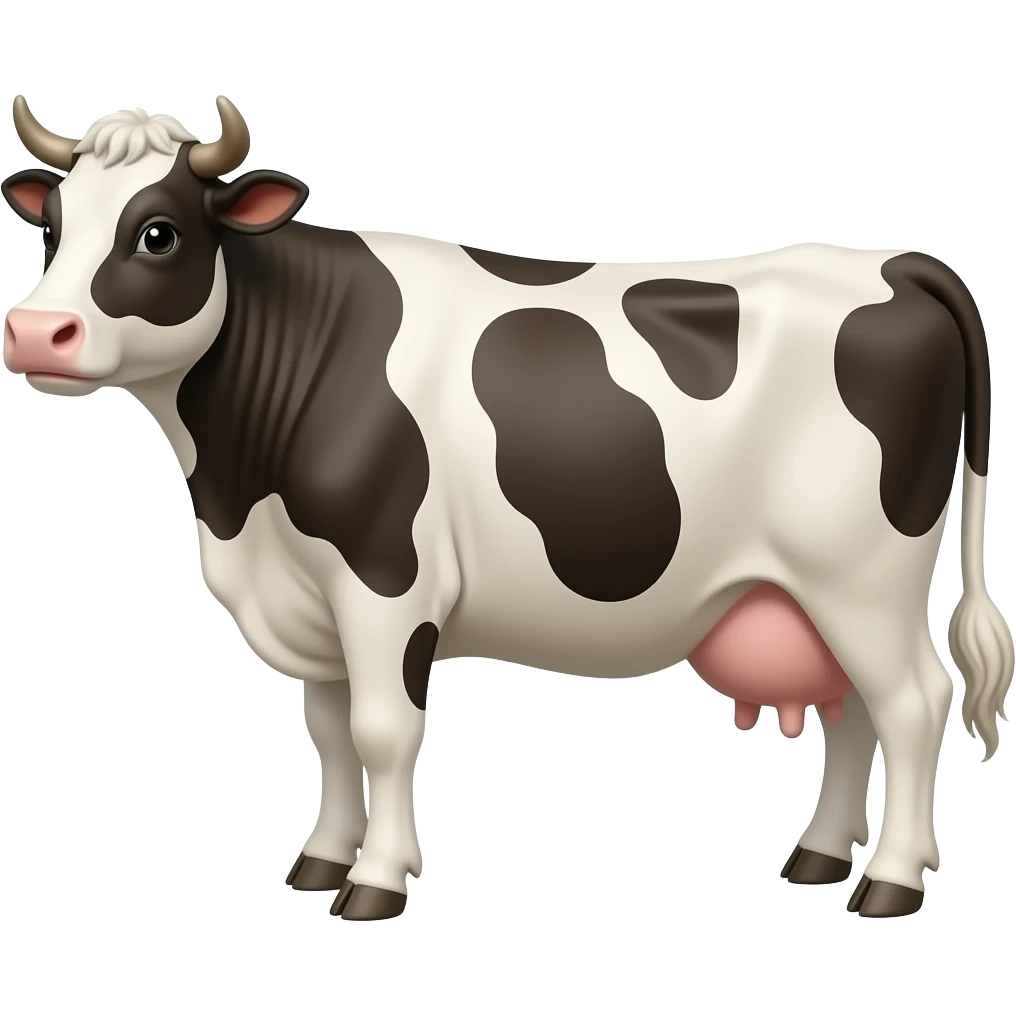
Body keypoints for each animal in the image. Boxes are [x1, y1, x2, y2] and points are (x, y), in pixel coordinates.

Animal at [3, 96, 1012, 923]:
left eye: (158, 233)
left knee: (912, 703)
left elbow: (380, 731)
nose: (35, 332)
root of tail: (895, 262)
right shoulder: (311, 596)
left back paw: (890, 881)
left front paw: (375, 884)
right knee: (854, 712)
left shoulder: (385, 580)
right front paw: (319, 864)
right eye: (51, 226)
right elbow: (327, 731)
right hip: (810, 590)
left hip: (862, 575)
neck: (238, 497)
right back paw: (819, 859)